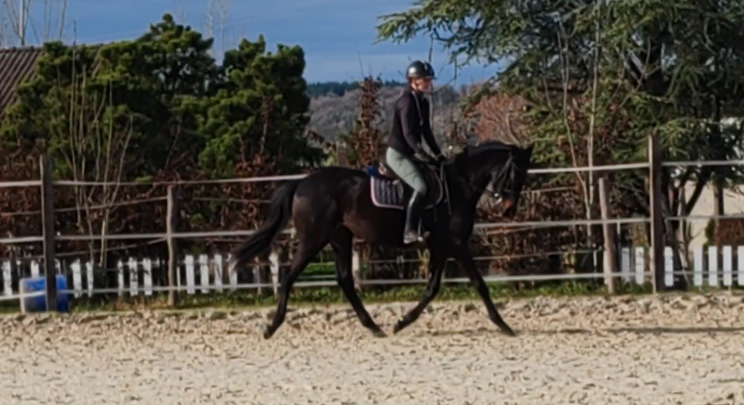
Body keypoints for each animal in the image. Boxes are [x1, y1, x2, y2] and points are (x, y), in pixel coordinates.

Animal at [230, 140, 534, 339]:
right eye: (514, 172)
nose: (509, 210)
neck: (458, 185)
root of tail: (302, 183)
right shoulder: (456, 245)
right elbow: (479, 284)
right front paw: (504, 325)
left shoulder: (440, 247)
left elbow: (432, 288)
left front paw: (402, 322)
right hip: (312, 239)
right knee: (289, 277)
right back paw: (272, 327)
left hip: (340, 238)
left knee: (345, 281)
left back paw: (373, 327)